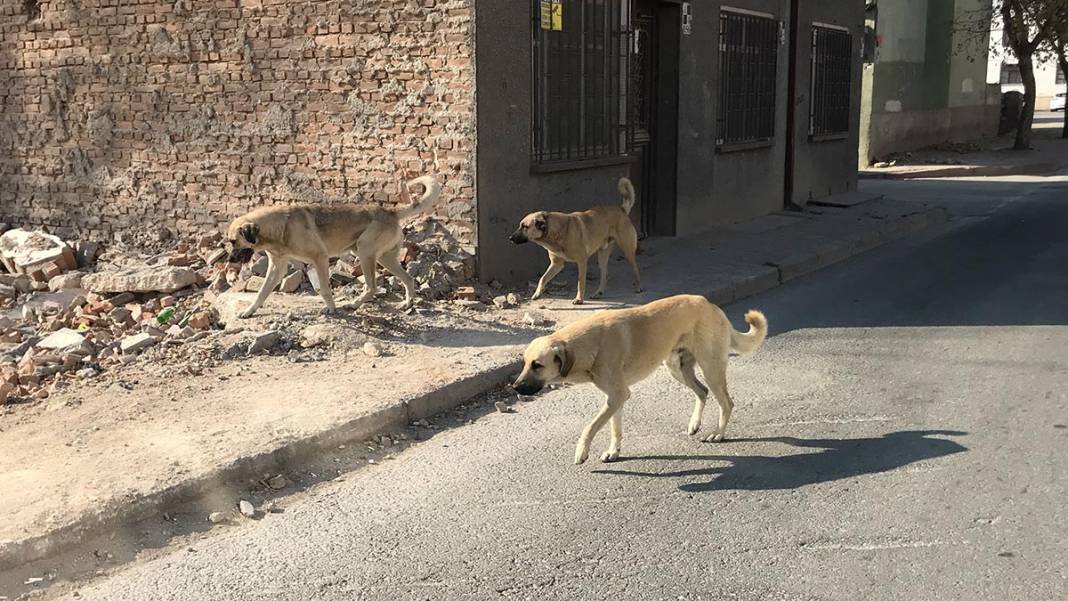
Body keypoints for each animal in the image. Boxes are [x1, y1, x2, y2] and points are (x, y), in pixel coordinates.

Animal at [225, 175, 442, 320]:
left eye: (233, 241)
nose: (229, 261)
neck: (280, 227)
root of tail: (390, 211)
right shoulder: (277, 267)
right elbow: (262, 292)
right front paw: (249, 310)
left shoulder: (320, 258)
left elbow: (324, 289)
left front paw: (330, 308)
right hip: (384, 258)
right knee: (408, 278)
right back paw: (407, 303)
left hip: (365, 251)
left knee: (372, 286)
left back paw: (353, 305)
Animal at [508, 176, 640, 303]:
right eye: (520, 225)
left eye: (525, 227)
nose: (510, 238)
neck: (556, 232)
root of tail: (621, 209)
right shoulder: (557, 264)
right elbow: (542, 278)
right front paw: (537, 293)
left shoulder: (582, 261)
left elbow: (580, 282)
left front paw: (579, 299)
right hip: (602, 256)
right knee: (605, 274)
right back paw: (598, 293)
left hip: (628, 251)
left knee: (635, 269)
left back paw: (638, 287)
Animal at [510, 296, 768, 465]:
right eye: (524, 363)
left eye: (537, 365)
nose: (514, 387)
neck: (588, 344)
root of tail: (711, 305)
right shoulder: (615, 398)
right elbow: (614, 428)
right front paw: (614, 451)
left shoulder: (617, 395)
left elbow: (590, 426)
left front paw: (582, 451)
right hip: (677, 368)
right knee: (702, 392)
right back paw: (694, 424)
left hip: (711, 368)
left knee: (726, 402)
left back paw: (718, 434)